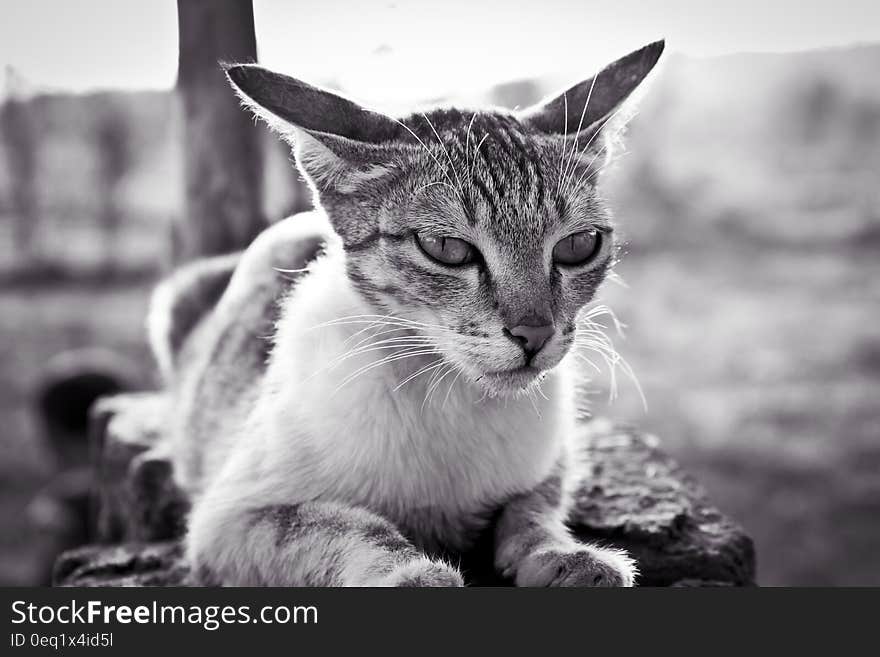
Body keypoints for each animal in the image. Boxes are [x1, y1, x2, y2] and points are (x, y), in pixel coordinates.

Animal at [148, 41, 664, 584]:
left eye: (578, 246)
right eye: (446, 248)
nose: (535, 333)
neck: (448, 393)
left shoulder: (552, 464)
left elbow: (531, 511)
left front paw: (564, 554)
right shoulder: (230, 519)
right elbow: (348, 526)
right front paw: (415, 571)